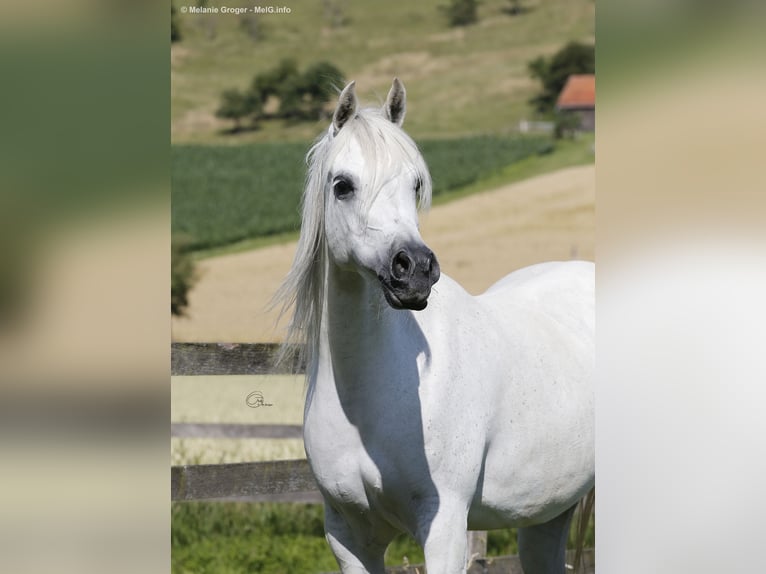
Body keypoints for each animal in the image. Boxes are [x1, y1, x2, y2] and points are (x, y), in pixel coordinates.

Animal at [275, 79, 594, 574]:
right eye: (342, 185)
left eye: (416, 183)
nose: (416, 270)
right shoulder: (347, 535)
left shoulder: (444, 526)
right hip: (548, 513)